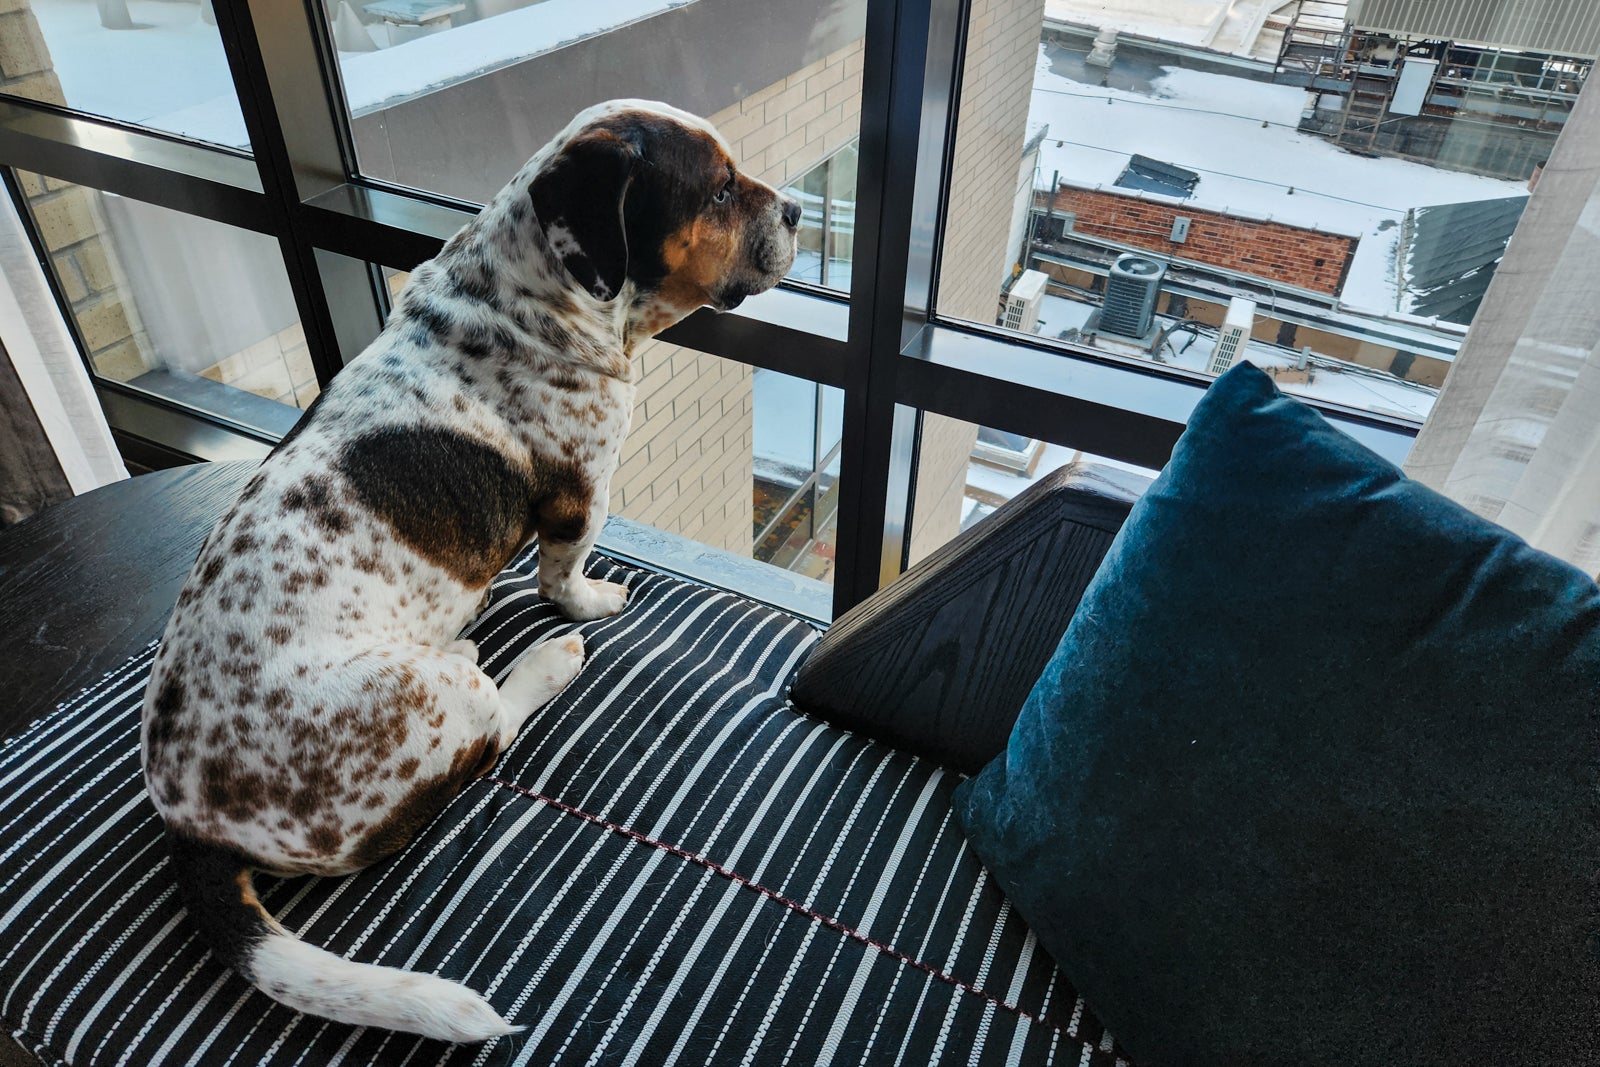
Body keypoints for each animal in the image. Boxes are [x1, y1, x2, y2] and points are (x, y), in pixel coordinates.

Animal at [140, 99, 800, 1043]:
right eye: (717, 189)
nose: (797, 212)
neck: (530, 298)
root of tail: (188, 824)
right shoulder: (582, 496)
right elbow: (564, 578)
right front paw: (589, 604)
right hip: (437, 700)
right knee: (493, 730)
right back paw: (544, 662)